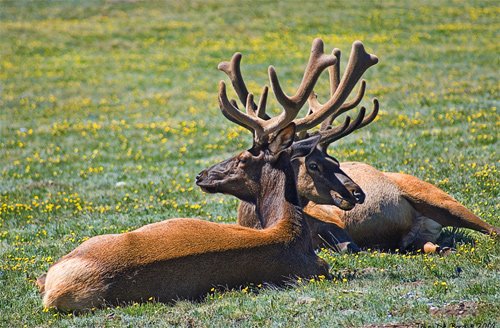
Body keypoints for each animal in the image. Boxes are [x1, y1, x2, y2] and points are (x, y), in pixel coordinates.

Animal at [36, 37, 360, 310]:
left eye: (242, 157)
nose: (201, 175)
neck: (288, 227)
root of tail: (57, 291)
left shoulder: (319, 265)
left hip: (91, 242)